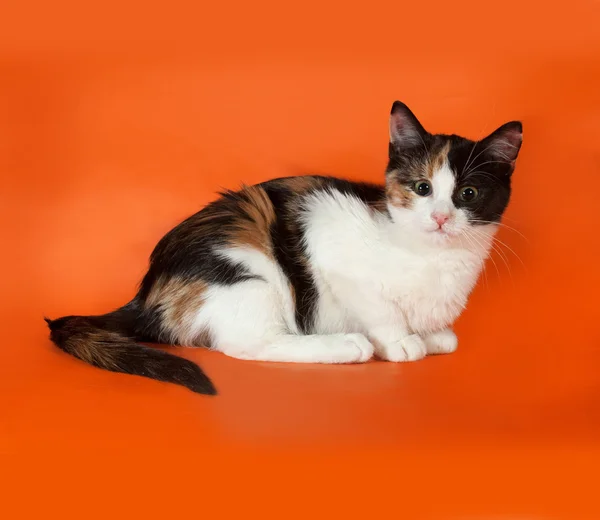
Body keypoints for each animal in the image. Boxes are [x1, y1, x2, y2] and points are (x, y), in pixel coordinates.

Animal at [44, 101, 520, 394]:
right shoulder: (329, 232)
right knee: (249, 344)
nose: (440, 218)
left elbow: (443, 336)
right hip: (248, 270)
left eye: (469, 194)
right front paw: (400, 340)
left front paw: (430, 334)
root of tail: (145, 295)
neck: (433, 257)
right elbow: (379, 306)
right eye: (422, 188)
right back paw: (346, 346)